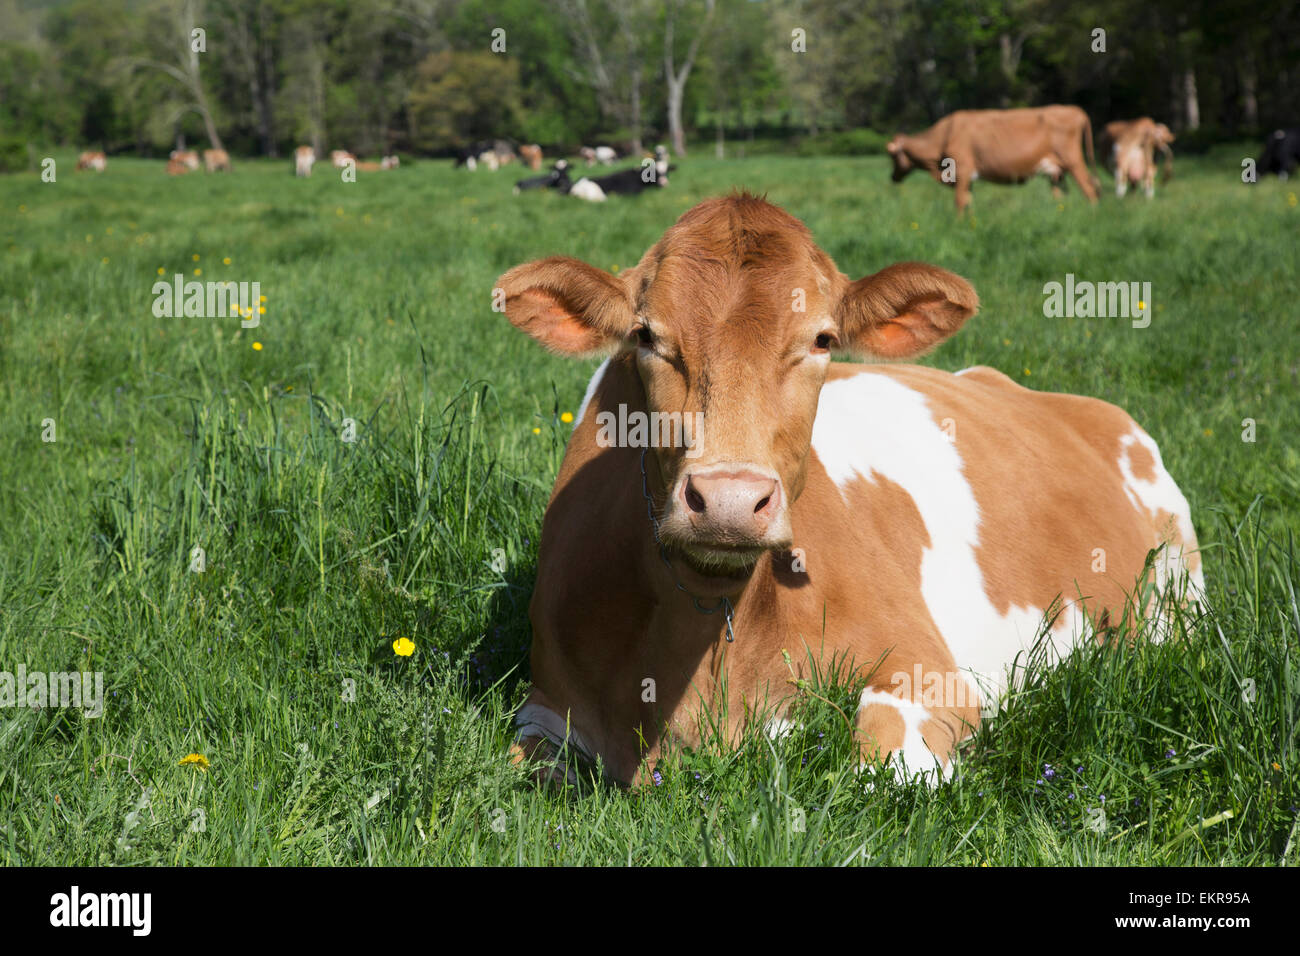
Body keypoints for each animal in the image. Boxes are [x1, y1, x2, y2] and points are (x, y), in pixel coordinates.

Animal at [493, 192, 1196, 785]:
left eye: (823, 339)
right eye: (645, 335)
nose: (728, 500)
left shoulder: (931, 673)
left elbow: (879, 768)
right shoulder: (545, 705)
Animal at [883, 107, 1097, 214]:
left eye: (893, 156)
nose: (892, 177)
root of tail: (1076, 110)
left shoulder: (962, 170)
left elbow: (959, 201)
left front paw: (958, 224)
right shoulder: (967, 178)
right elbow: (968, 201)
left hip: (1073, 160)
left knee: (1089, 188)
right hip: (1056, 172)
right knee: (1062, 195)